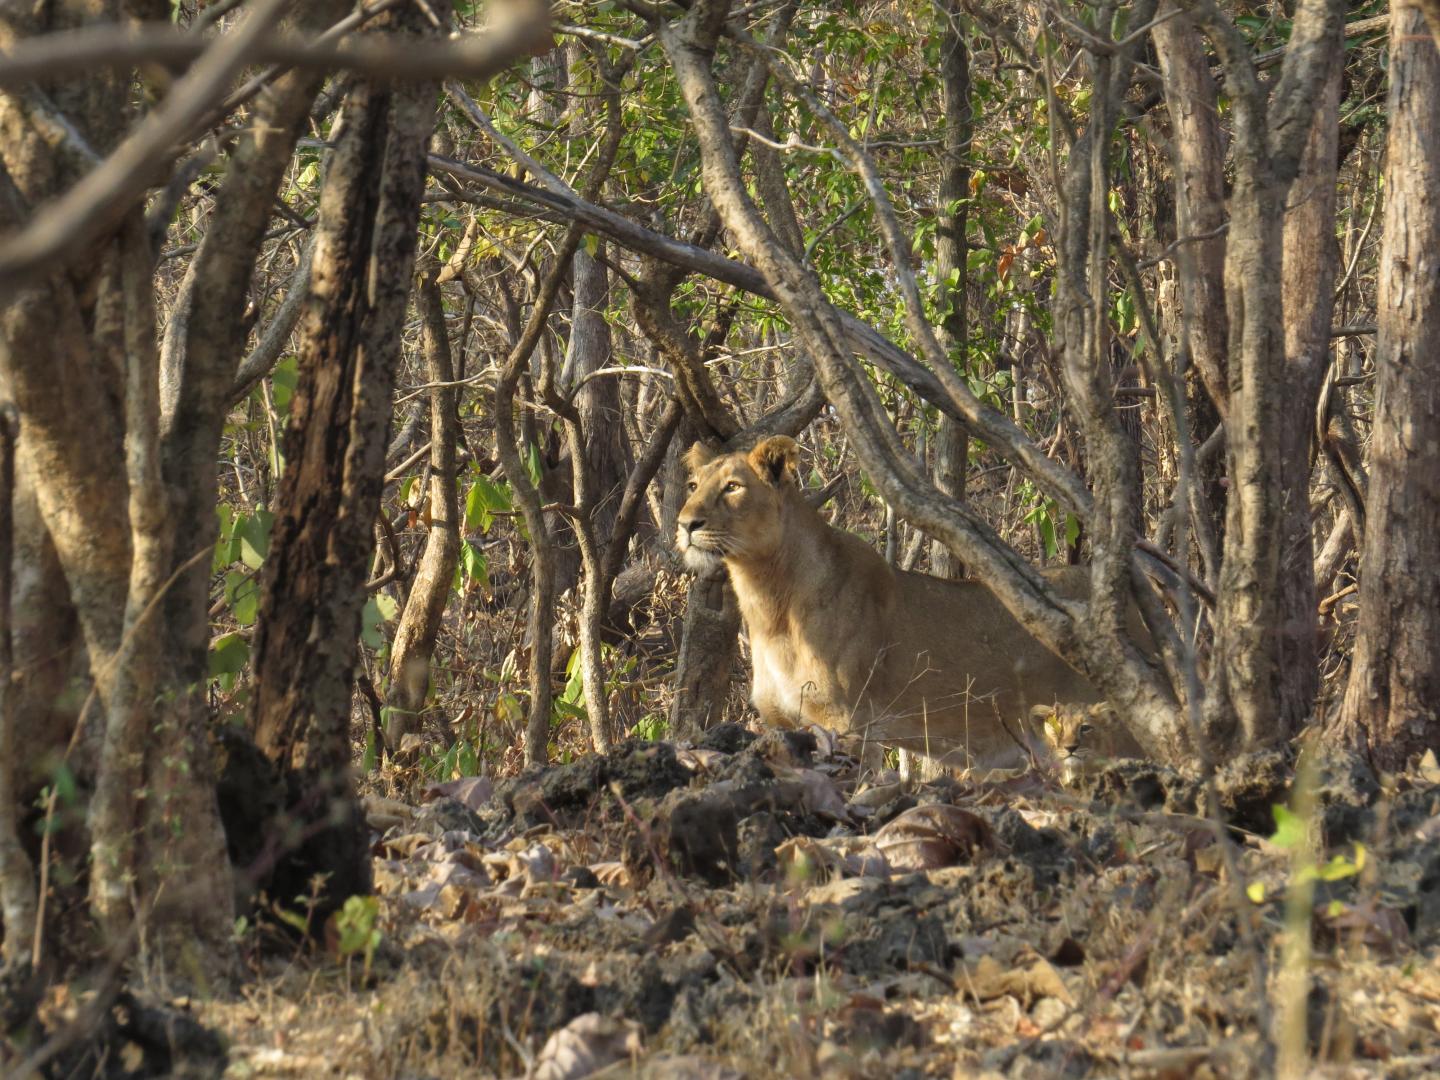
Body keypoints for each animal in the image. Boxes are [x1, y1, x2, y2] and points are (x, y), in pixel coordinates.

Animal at [677, 435, 1122, 769]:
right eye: (694, 486)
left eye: (733, 487)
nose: (685, 524)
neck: (768, 599)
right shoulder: (779, 723)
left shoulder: (848, 723)